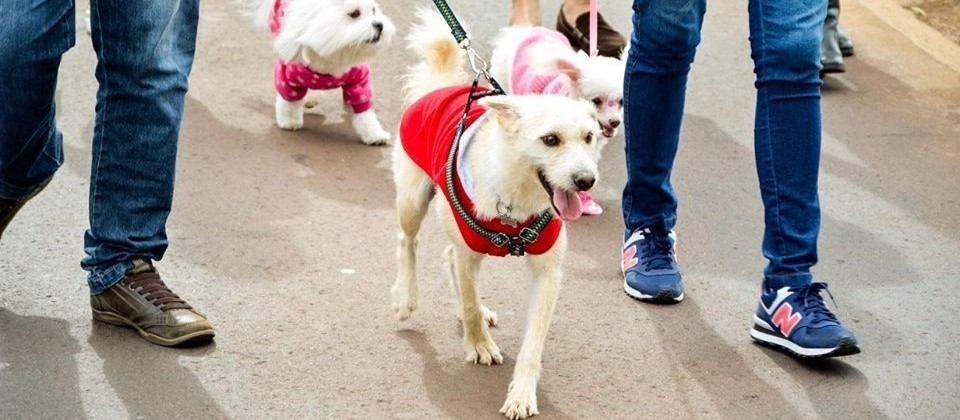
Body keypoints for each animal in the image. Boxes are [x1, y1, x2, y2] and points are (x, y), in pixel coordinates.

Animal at [253, 0, 396, 144]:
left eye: (373, 11)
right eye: (354, 13)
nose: (380, 25)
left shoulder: (359, 80)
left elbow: (364, 110)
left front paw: (374, 133)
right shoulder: (287, 76)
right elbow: (289, 100)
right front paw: (290, 121)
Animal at [390, 9, 608, 420]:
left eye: (589, 137)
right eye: (550, 140)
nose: (586, 180)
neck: (519, 199)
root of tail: (441, 86)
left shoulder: (547, 273)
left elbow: (533, 344)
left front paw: (522, 393)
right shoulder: (468, 252)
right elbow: (469, 302)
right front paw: (478, 344)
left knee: (447, 256)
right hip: (412, 200)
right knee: (408, 242)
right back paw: (406, 296)